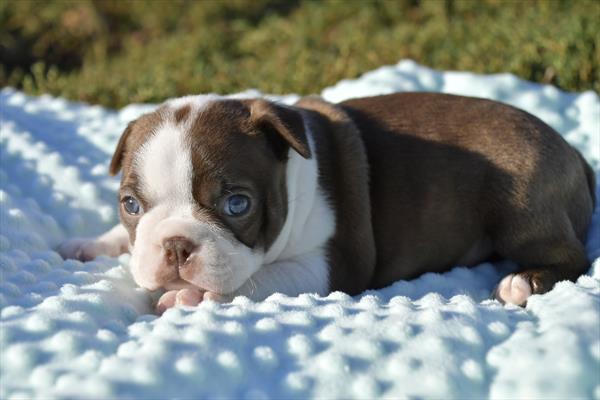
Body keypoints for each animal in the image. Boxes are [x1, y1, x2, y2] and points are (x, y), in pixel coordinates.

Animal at [57, 93, 596, 312]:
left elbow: (257, 280)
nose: (174, 245)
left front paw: (192, 297)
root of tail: (574, 153)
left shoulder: (334, 264)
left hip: (520, 202)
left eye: (237, 205)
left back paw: (523, 282)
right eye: (131, 205)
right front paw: (93, 243)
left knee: (573, 256)